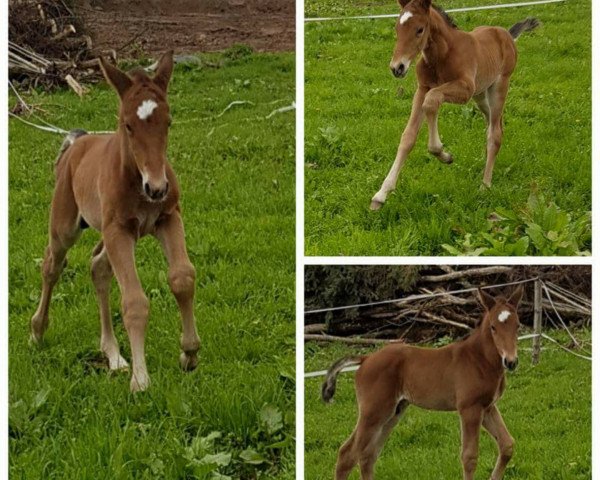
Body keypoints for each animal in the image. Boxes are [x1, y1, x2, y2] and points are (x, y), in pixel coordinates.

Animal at [31, 50, 199, 392]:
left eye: (169, 121)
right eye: (128, 125)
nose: (156, 187)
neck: (137, 182)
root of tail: (77, 143)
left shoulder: (167, 218)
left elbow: (182, 278)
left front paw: (188, 354)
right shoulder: (118, 230)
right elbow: (134, 301)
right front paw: (141, 379)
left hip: (116, 234)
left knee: (98, 267)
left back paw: (114, 355)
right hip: (68, 226)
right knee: (52, 264)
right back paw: (38, 330)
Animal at [322, 286, 524, 478]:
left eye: (517, 326)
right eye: (493, 327)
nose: (511, 361)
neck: (479, 359)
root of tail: (366, 358)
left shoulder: (487, 407)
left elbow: (507, 445)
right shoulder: (470, 409)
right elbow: (469, 457)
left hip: (393, 412)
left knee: (368, 455)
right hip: (374, 411)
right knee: (347, 454)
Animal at [370, 0, 540, 209]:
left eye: (419, 29)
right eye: (397, 28)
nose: (397, 68)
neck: (442, 55)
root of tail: (506, 34)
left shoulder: (464, 90)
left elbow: (432, 100)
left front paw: (443, 153)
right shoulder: (423, 88)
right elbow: (408, 137)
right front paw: (381, 194)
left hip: (499, 86)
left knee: (495, 133)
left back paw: (485, 185)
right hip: (480, 94)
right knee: (494, 124)